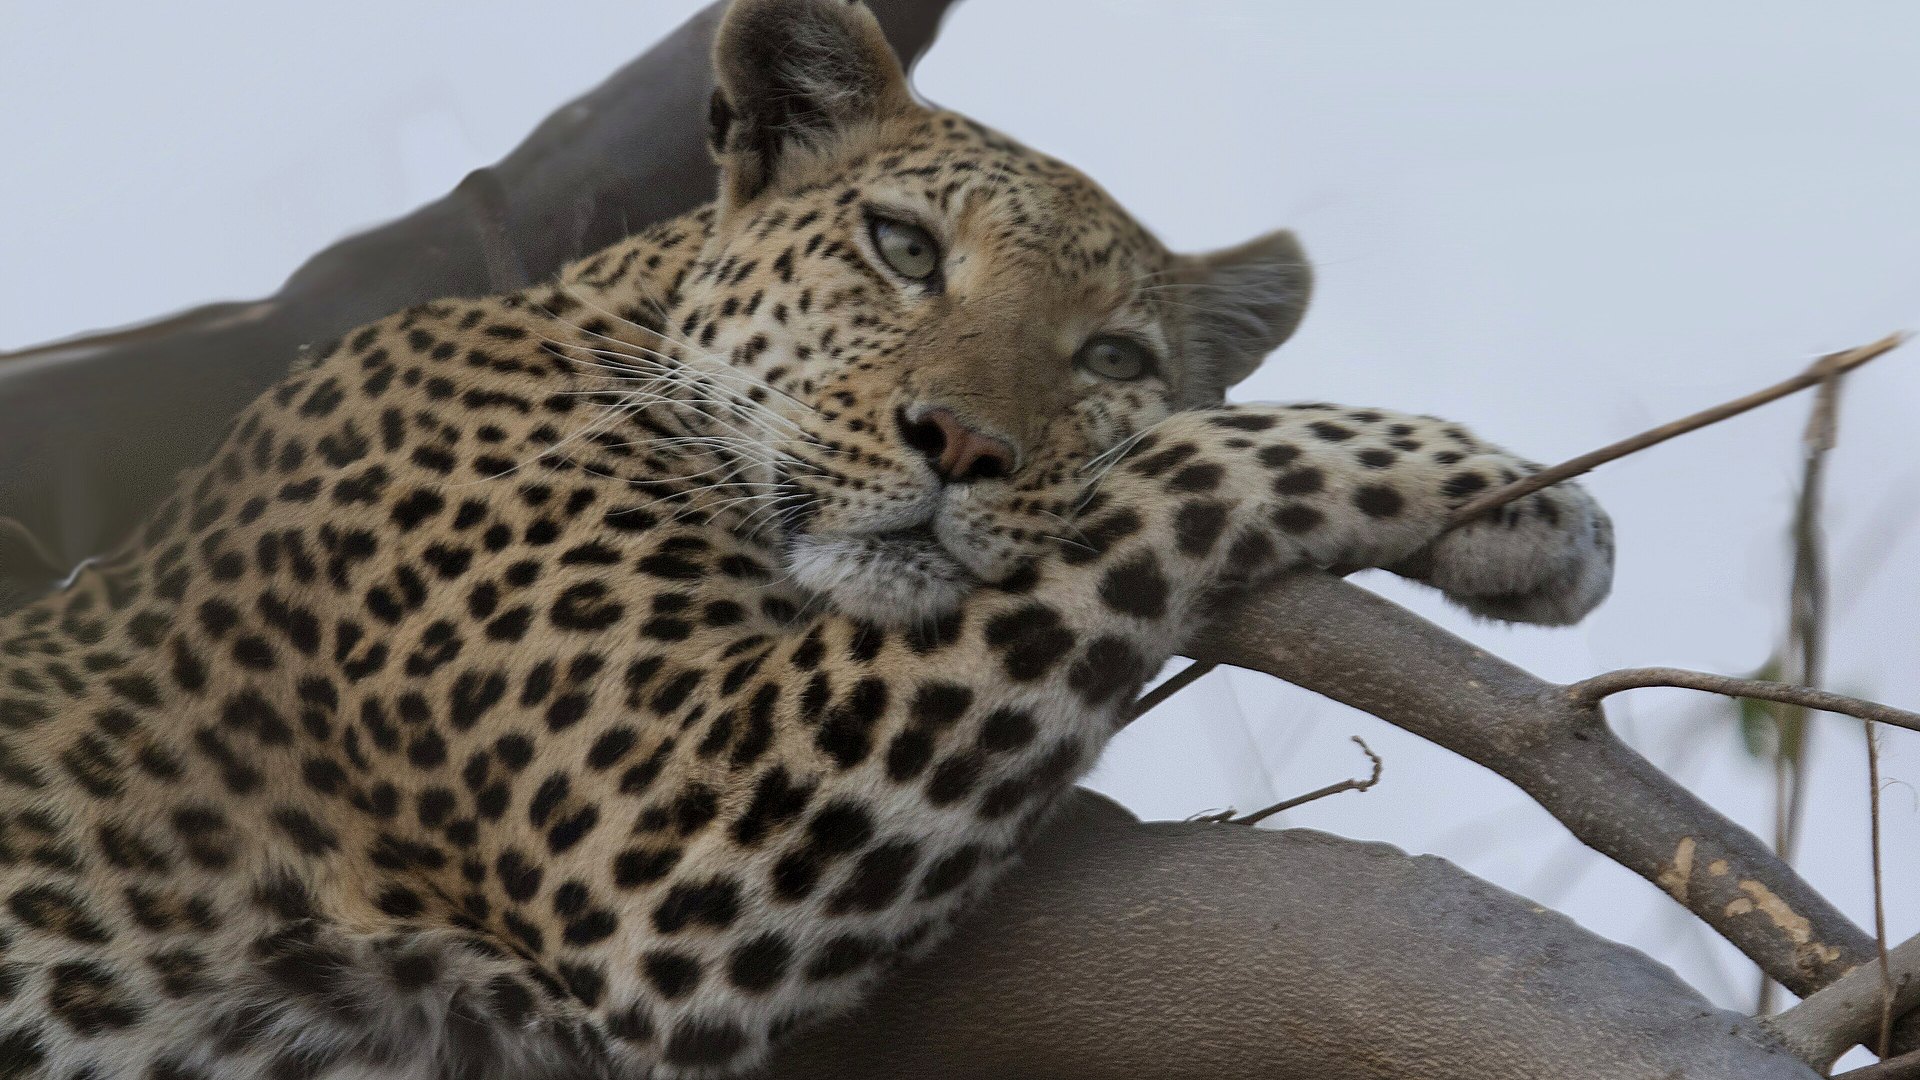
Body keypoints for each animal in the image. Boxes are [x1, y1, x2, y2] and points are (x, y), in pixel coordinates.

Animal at [0, 1, 1613, 1076]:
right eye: (904, 248)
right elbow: (1173, 469)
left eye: (1110, 356)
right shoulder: (660, 836)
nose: (962, 445)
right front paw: (1522, 498)